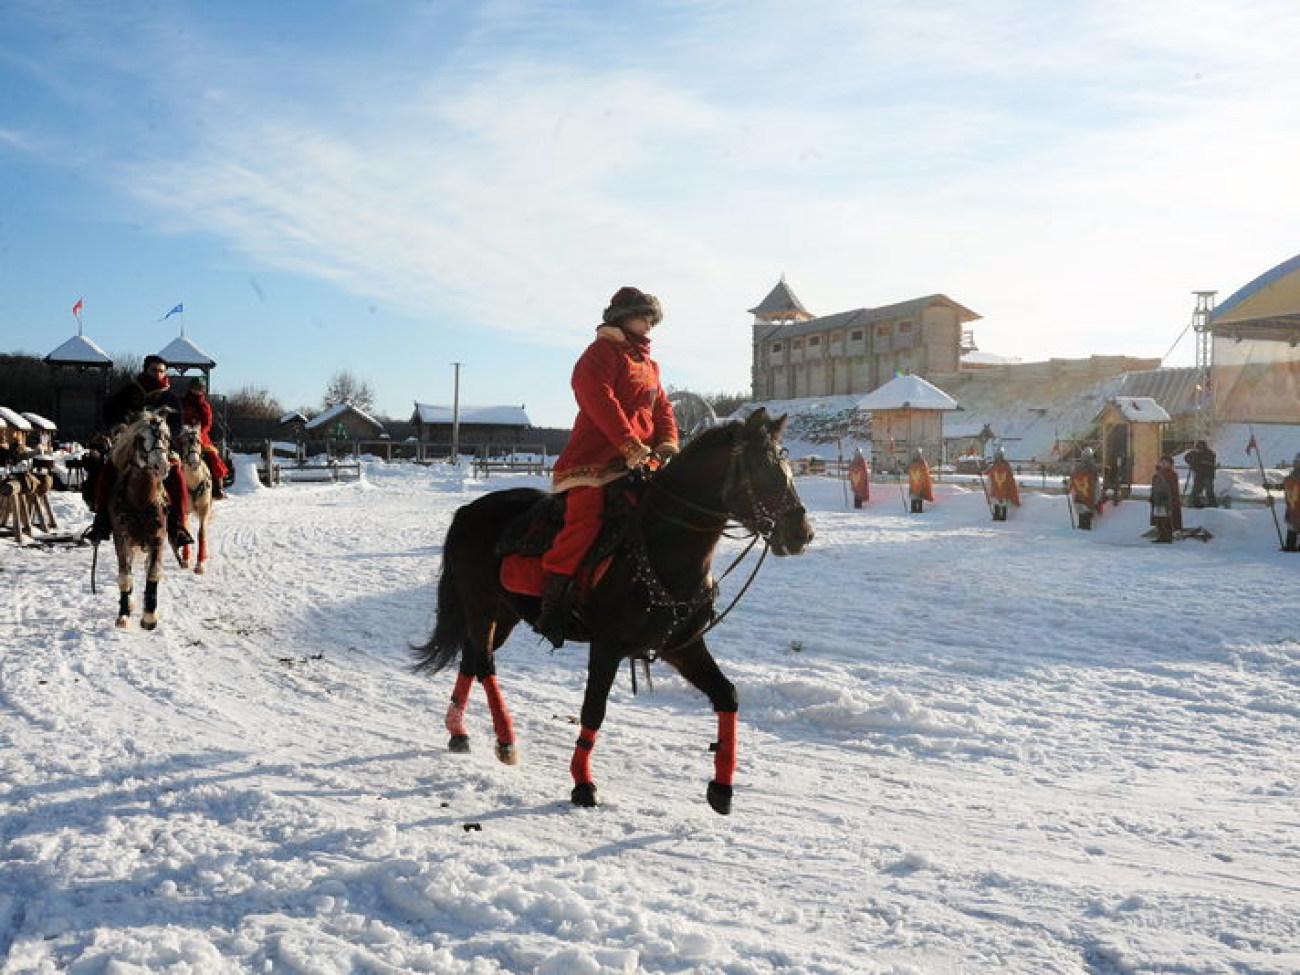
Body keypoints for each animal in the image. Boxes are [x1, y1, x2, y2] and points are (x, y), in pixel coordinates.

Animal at [175, 426, 213, 572]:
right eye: (184, 442)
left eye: (198, 441)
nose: (194, 462)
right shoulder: (183, 510)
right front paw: (185, 560)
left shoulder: (205, 509)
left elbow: (202, 533)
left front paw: (200, 564)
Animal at [413, 408, 811, 811]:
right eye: (763, 470)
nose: (802, 534)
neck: (661, 548)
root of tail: (469, 511)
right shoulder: (607, 646)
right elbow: (593, 710)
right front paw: (582, 783)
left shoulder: (683, 647)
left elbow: (727, 695)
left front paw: (722, 787)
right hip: (480, 607)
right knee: (484, 665)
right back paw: (505, 739)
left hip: (504, 614)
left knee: (471, 661)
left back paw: (458, 732)